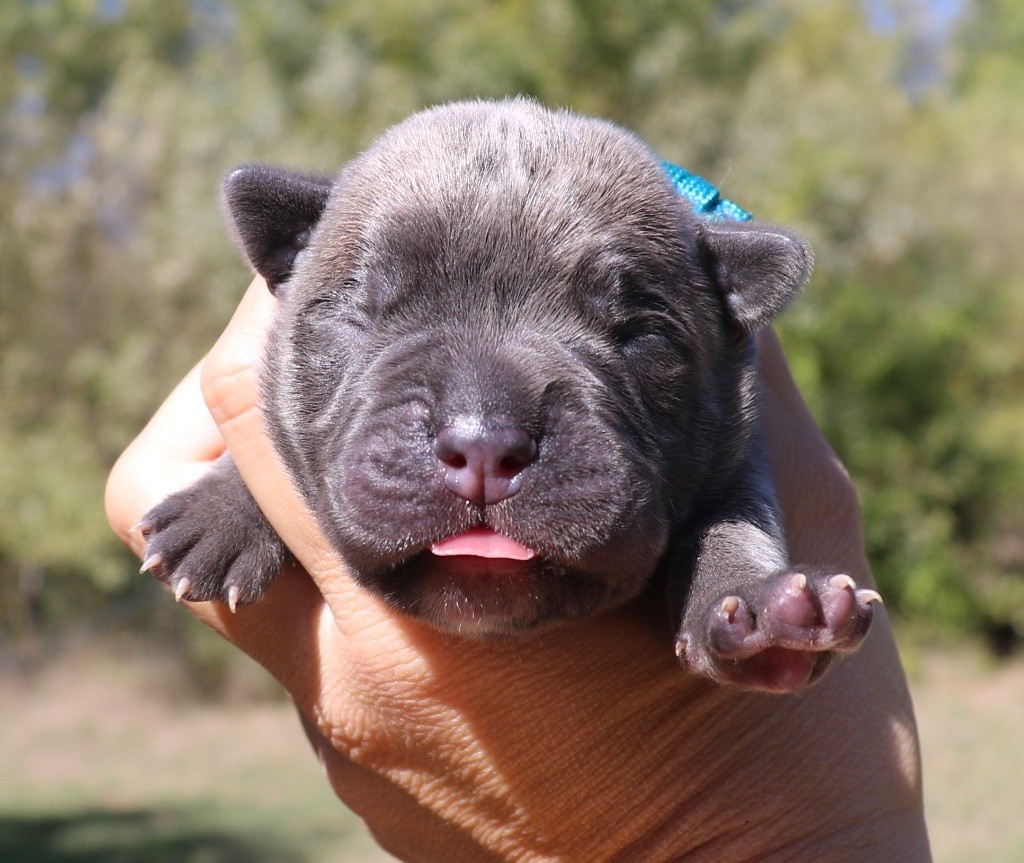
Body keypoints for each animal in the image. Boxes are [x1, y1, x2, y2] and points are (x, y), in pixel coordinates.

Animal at [140, 99, 880, 696]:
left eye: (639, 335)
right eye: (365, 310)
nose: (484, 443)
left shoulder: (741, 446)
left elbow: (736, 522)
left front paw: (761, 606)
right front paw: (221, 510)